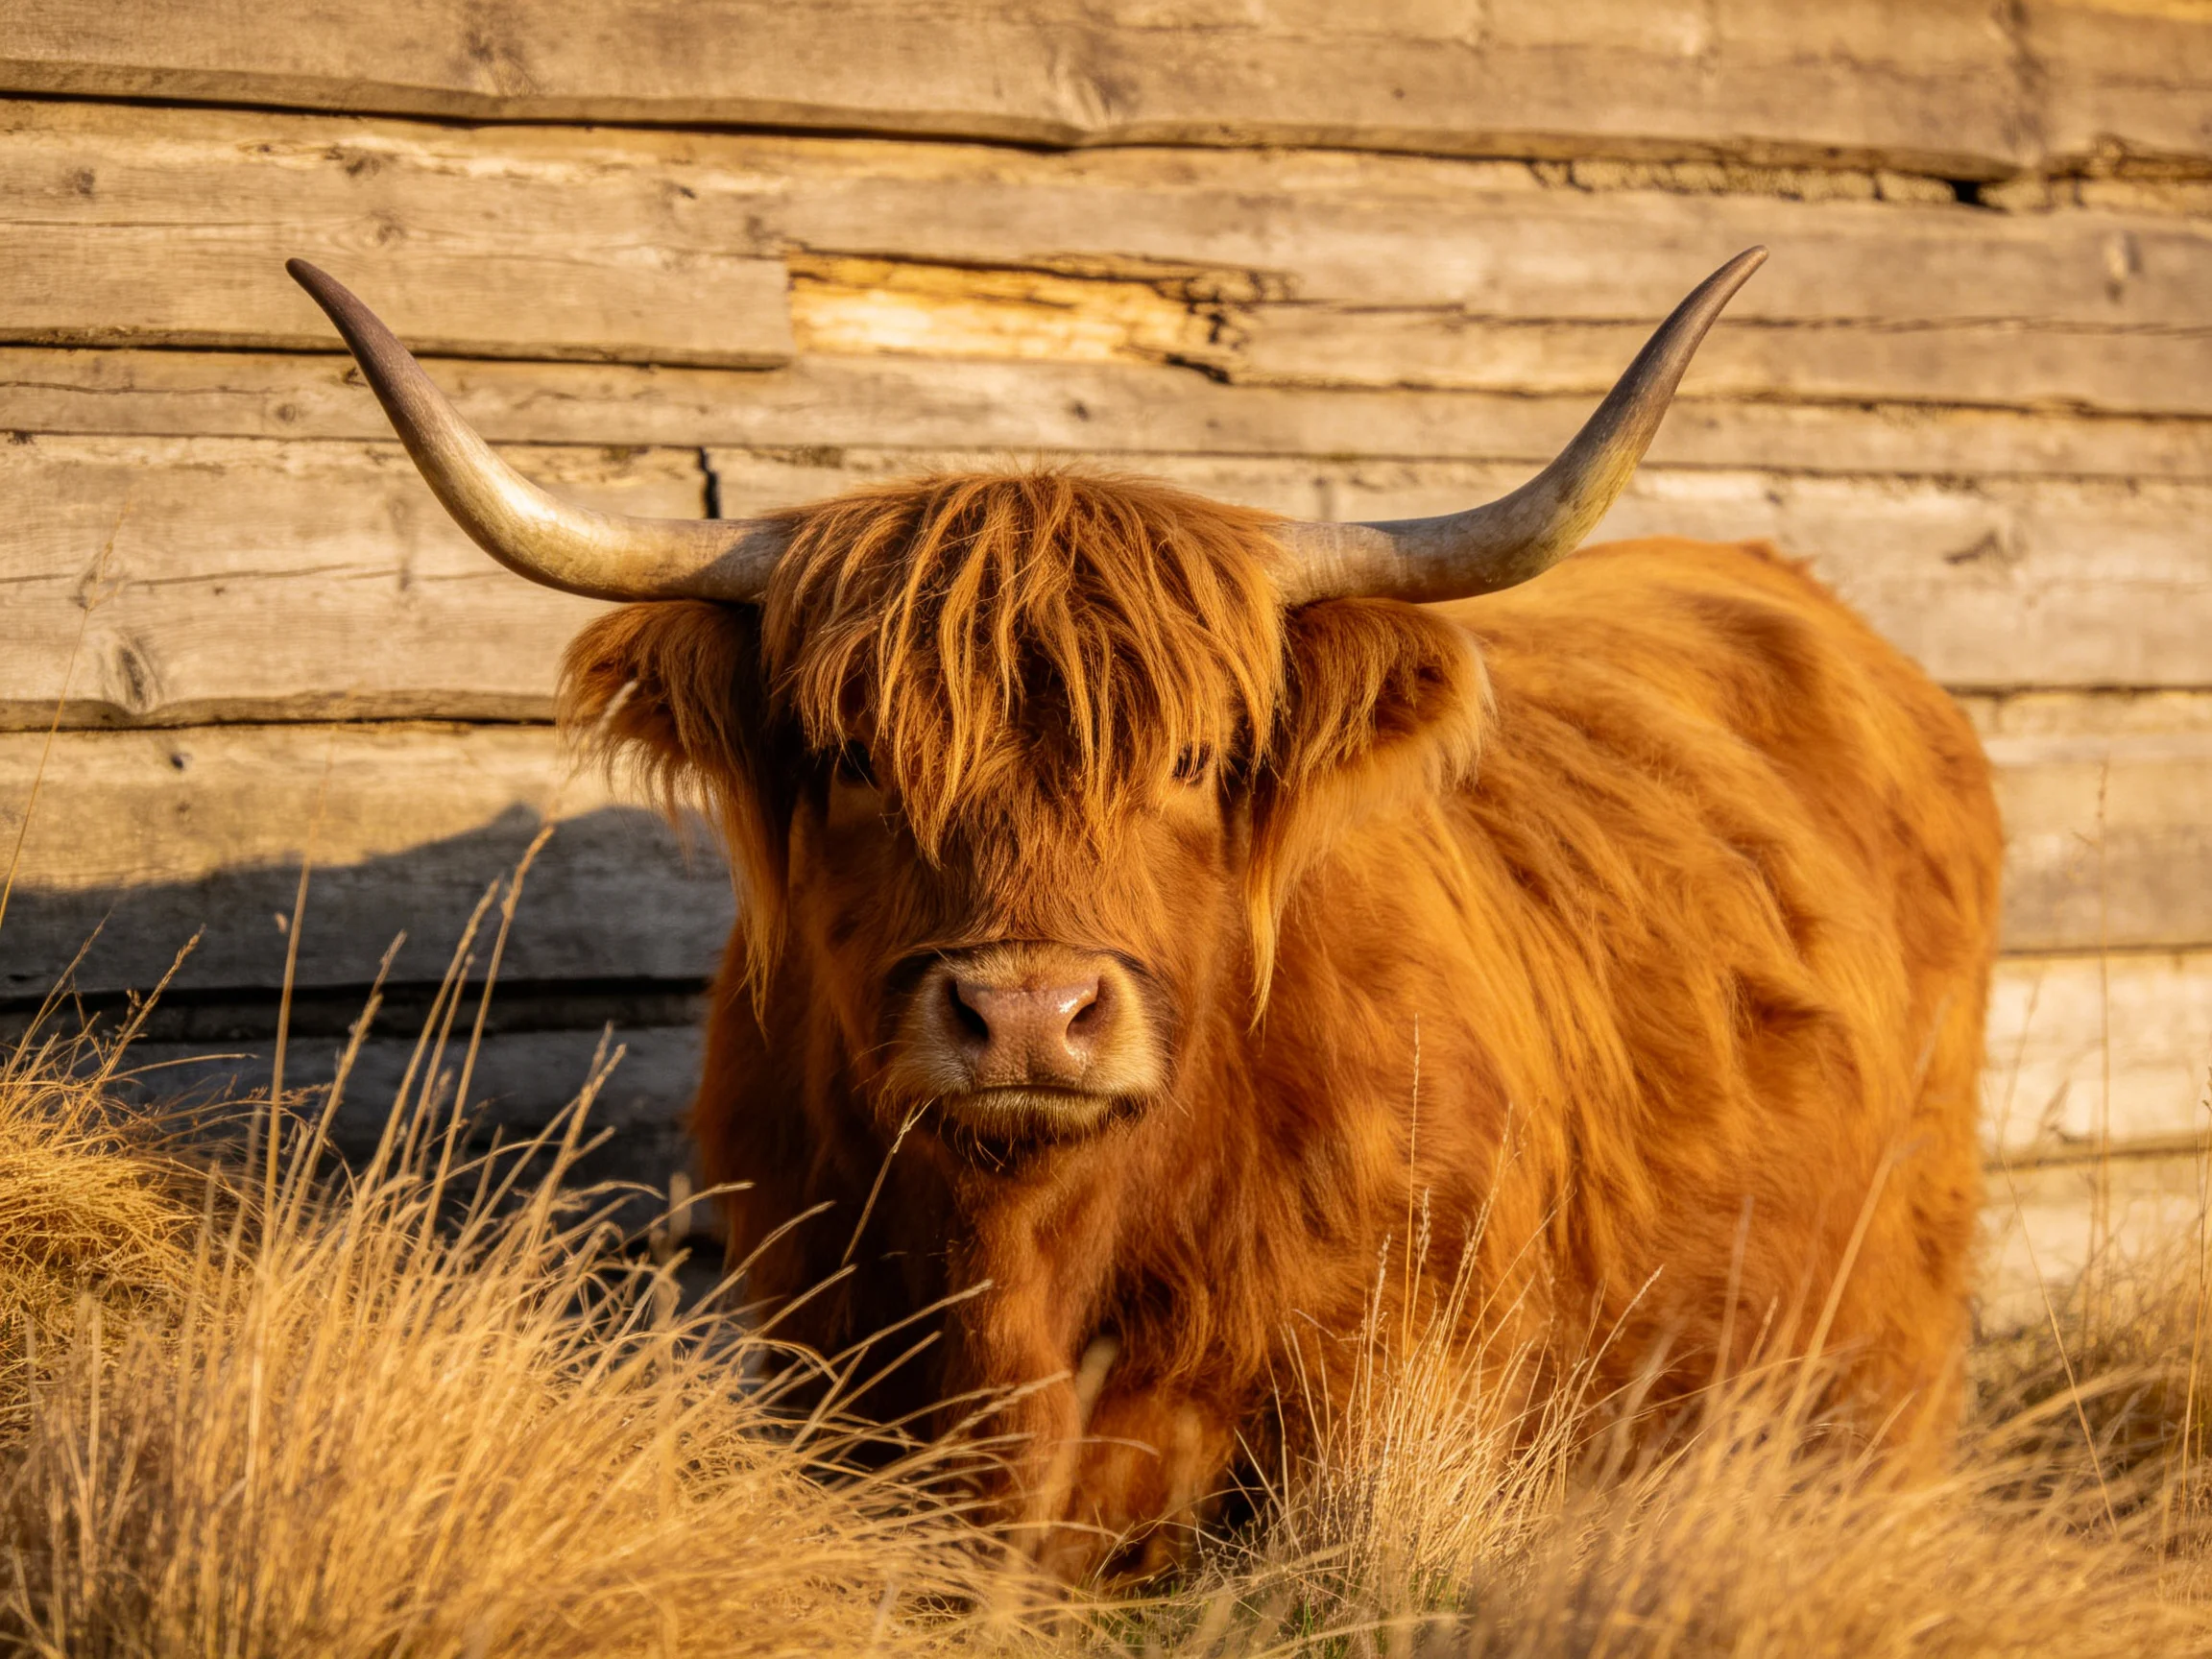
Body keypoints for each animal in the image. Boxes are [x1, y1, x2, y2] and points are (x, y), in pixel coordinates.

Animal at [290, 249, 2002, 1583]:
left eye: (1190, 759)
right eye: (851, 759)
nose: (1026, 1015)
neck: (1034, 1257)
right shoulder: (832, 1377)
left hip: (1879, 1343)